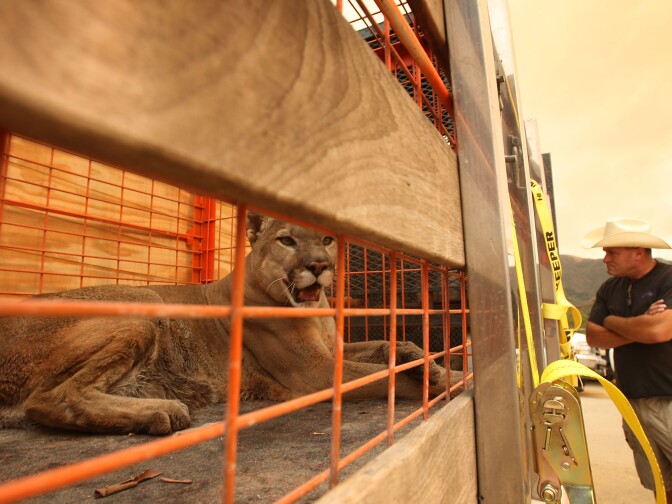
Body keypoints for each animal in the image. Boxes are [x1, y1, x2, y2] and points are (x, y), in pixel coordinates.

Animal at [0, 214, 459, 435]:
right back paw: (162, 412)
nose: (319, 265)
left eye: (327, 240)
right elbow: (386, 374)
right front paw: (442, 377)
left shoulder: (333, 350)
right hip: (145, 302)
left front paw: (430, 361)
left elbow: (387, 346)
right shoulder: (317, 372)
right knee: (49, 398)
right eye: (286, 240)